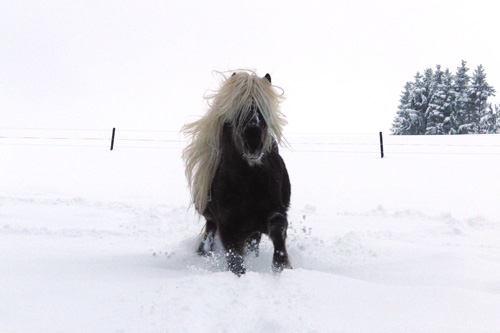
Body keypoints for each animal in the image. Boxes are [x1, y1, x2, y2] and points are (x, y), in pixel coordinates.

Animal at [183, 70, 292, 274]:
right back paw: (203, 251)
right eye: (238, 112)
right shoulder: (229, 227)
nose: (253, 143)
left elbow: (278, 226)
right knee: (210, 232)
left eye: (263, 111)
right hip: (214, 220)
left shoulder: (274, 211)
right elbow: (235, 261)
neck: (251, 183)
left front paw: (281, 265)